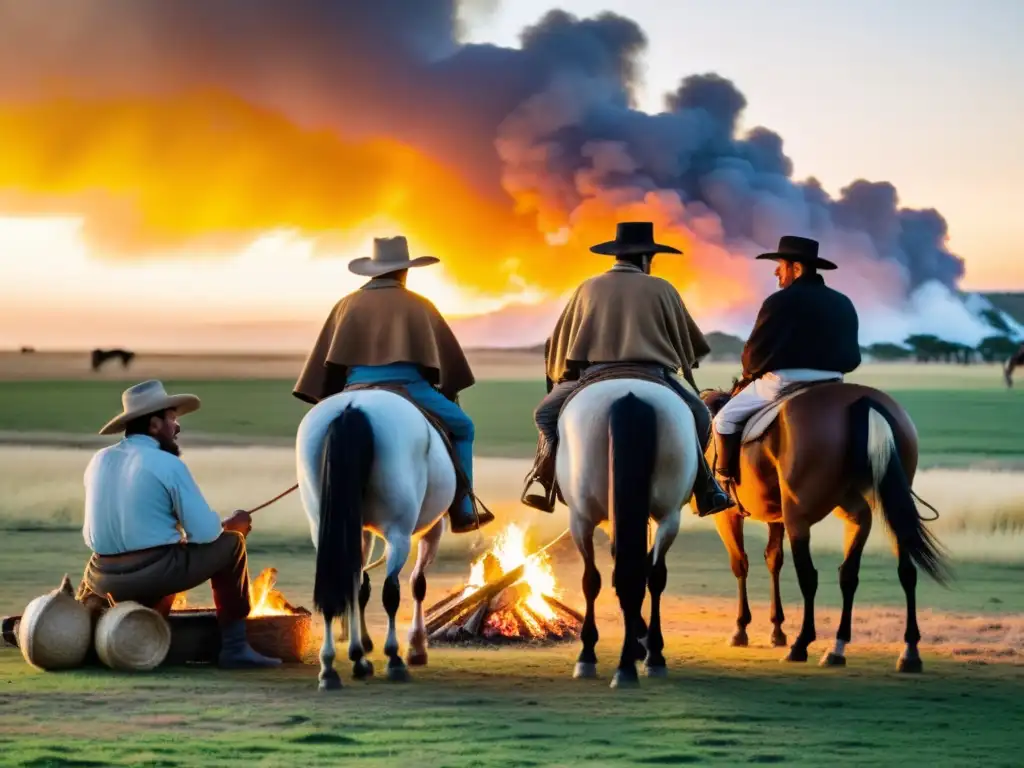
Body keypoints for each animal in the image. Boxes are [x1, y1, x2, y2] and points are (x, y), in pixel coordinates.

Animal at [296, 391, 456, 692]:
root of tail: (353, 407)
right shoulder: (432, 528)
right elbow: (417, 584)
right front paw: (416, 647)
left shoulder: (360, 531)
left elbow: (358, 588)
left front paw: (359, 652)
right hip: (399, 532)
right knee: (391, 591)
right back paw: (393, 659)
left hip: (323, 524)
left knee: (340, 587)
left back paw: (333, 667)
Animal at [557, 380, 700, 692]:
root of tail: (630, 397)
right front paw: (639, 641)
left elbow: (596, 579)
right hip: (669, 514)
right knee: (646, 576)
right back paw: (639, 659)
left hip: (582, 517)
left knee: (603, 578)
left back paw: (609, 658)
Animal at [700, 382, 946, 671]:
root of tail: (864, 401)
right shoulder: (776, 516)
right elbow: (774, 560)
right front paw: (776, 629)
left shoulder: (729, 516)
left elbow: (741, 563)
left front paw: (742, 629)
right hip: (880, 504)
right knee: (880, 571)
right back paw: (892, 651)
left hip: (799, 515)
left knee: (809, 576)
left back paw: (801, 644)